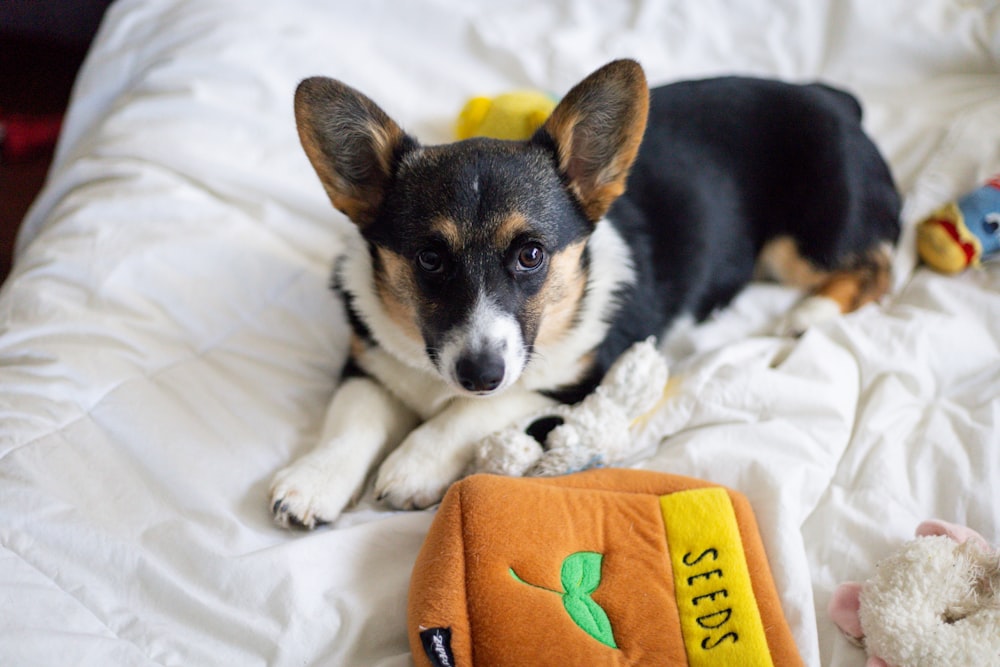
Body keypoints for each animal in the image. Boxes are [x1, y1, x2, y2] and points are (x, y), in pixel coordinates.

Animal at [270, 60, 904, 528]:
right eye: (429, 259)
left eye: (531, 255)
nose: (479, 373)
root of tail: (831, 99)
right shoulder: (368, 360)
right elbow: (351, 420)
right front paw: (312, 483)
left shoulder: (582, 374)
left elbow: (477, 411)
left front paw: (414, 465)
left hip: (806, 240)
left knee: (878, 266)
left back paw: (807, 314)